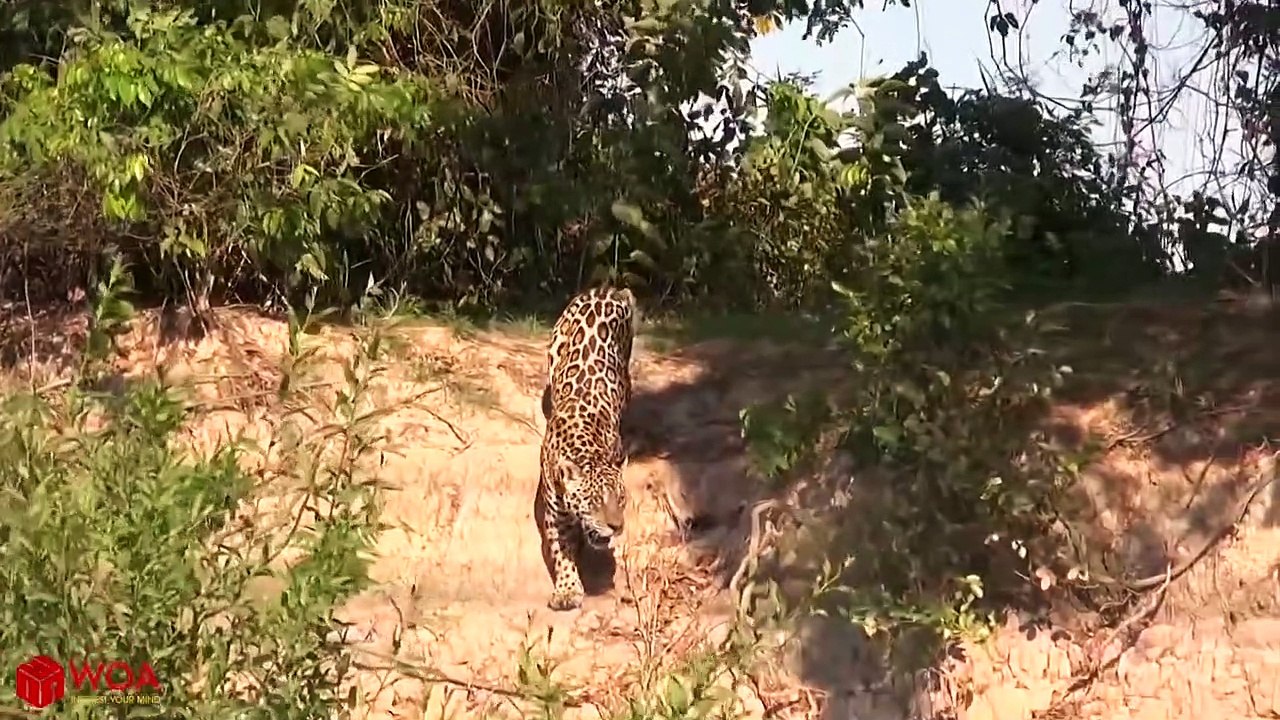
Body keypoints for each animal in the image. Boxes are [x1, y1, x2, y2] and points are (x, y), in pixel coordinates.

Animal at [537, 285, 637, 611]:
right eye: (594, 501)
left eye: (621, 500)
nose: (616, 527)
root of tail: (608, 288)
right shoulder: (555, 514)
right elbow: (562, 553)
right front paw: (568, 590)